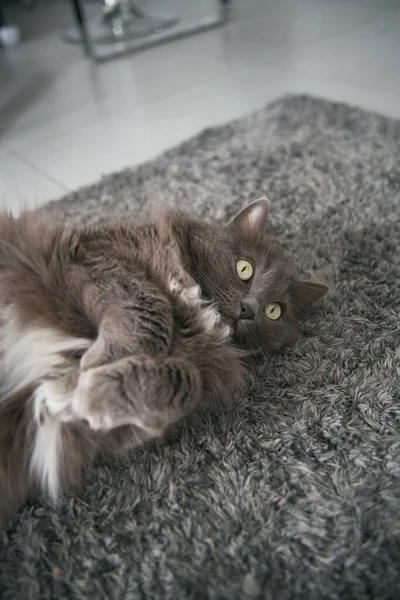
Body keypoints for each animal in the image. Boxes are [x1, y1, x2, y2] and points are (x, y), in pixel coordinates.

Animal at [0, 197, 328, 524]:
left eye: (274, 311)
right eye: (244, 268)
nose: (249, 309)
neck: (197, 311)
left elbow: (182, 384)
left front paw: (83, 393)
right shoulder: (96, 257)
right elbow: (149, 306)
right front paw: (95, 363)